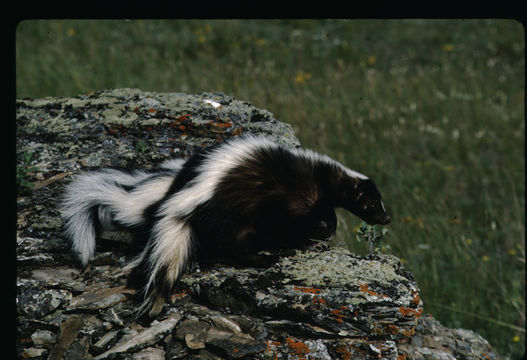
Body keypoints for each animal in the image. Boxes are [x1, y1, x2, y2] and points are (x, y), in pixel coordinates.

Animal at [62, 136, 392, 316]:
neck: (322, 175)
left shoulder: (315, 199)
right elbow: (293, 225)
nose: (387, 218)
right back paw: (260, 258)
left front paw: (327, 229)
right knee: (235, 244)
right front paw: (310, 239)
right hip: (233, 213)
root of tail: (185, 196)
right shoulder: (292, 197)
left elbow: (324, 214)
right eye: (373, 204)